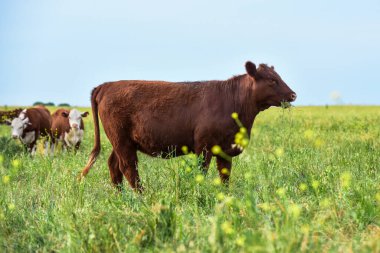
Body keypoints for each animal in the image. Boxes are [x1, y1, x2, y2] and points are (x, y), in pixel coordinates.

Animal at [81, 61, 298, 192]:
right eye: (272, 80)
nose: (293, 94)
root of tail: (107, 85)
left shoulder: (225, 149)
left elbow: (225, 175)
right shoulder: (204, 147)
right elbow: (202, 171)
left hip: (121, 141)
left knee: (114, 165)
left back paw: (120, 196)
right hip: (121, 141)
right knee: (128, 167)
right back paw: (142, 196)